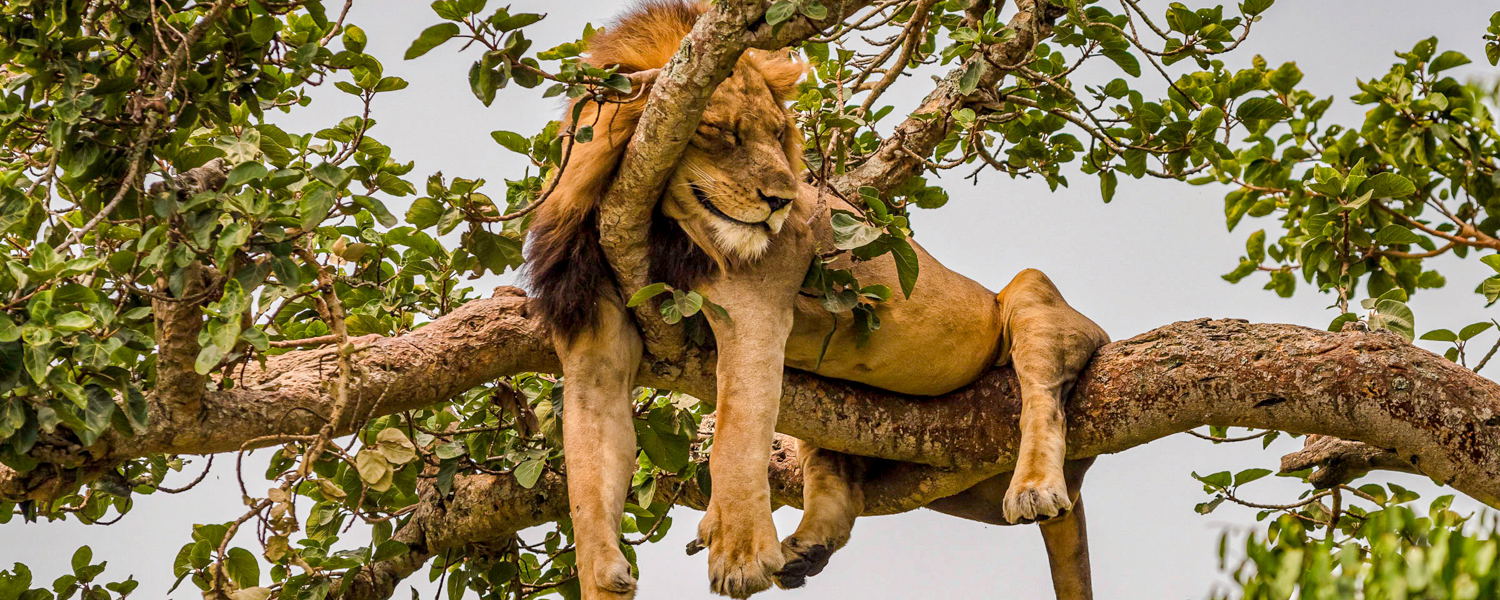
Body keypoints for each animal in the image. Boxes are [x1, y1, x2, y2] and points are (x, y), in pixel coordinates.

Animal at [523, 2, 1109, 599]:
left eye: (778, 132)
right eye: (717, 131)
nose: (784, 200)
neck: (657, 225)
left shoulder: (757, 305)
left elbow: (736, 432)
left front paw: (739, 554)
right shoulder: (595, 332)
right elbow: (588, 468)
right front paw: (603, 577)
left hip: (1033, 295)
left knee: (1044, 397)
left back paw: (1034, 488)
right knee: (837, 476)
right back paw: (805, 549)